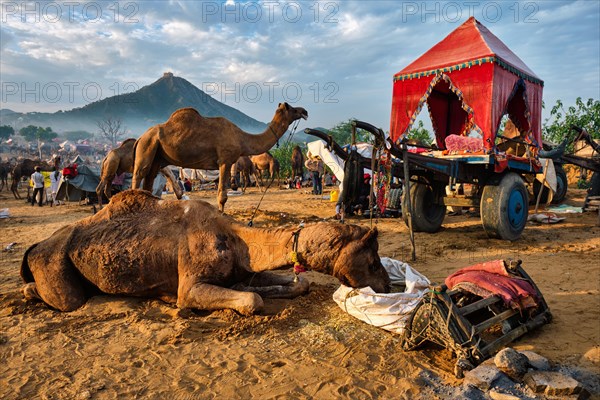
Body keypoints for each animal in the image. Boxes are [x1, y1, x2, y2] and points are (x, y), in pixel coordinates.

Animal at [19, 189, 390, 314]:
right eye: (372, 262)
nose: (388, 286)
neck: (237, 238)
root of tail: (35, 247)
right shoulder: (192, 283)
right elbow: (251, 301)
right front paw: (176, 303)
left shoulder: (243, 269)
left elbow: (297, 283)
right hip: (53, 262)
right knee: (65, 299)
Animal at [132, 102, 310, 212]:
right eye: (292, 108)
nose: (305, 111)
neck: (241, 138)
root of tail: (140, 137)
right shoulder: (225, 160)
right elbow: (222, 197)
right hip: (147, 146)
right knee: (139, 176)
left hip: (157, 156)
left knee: (149, 181)